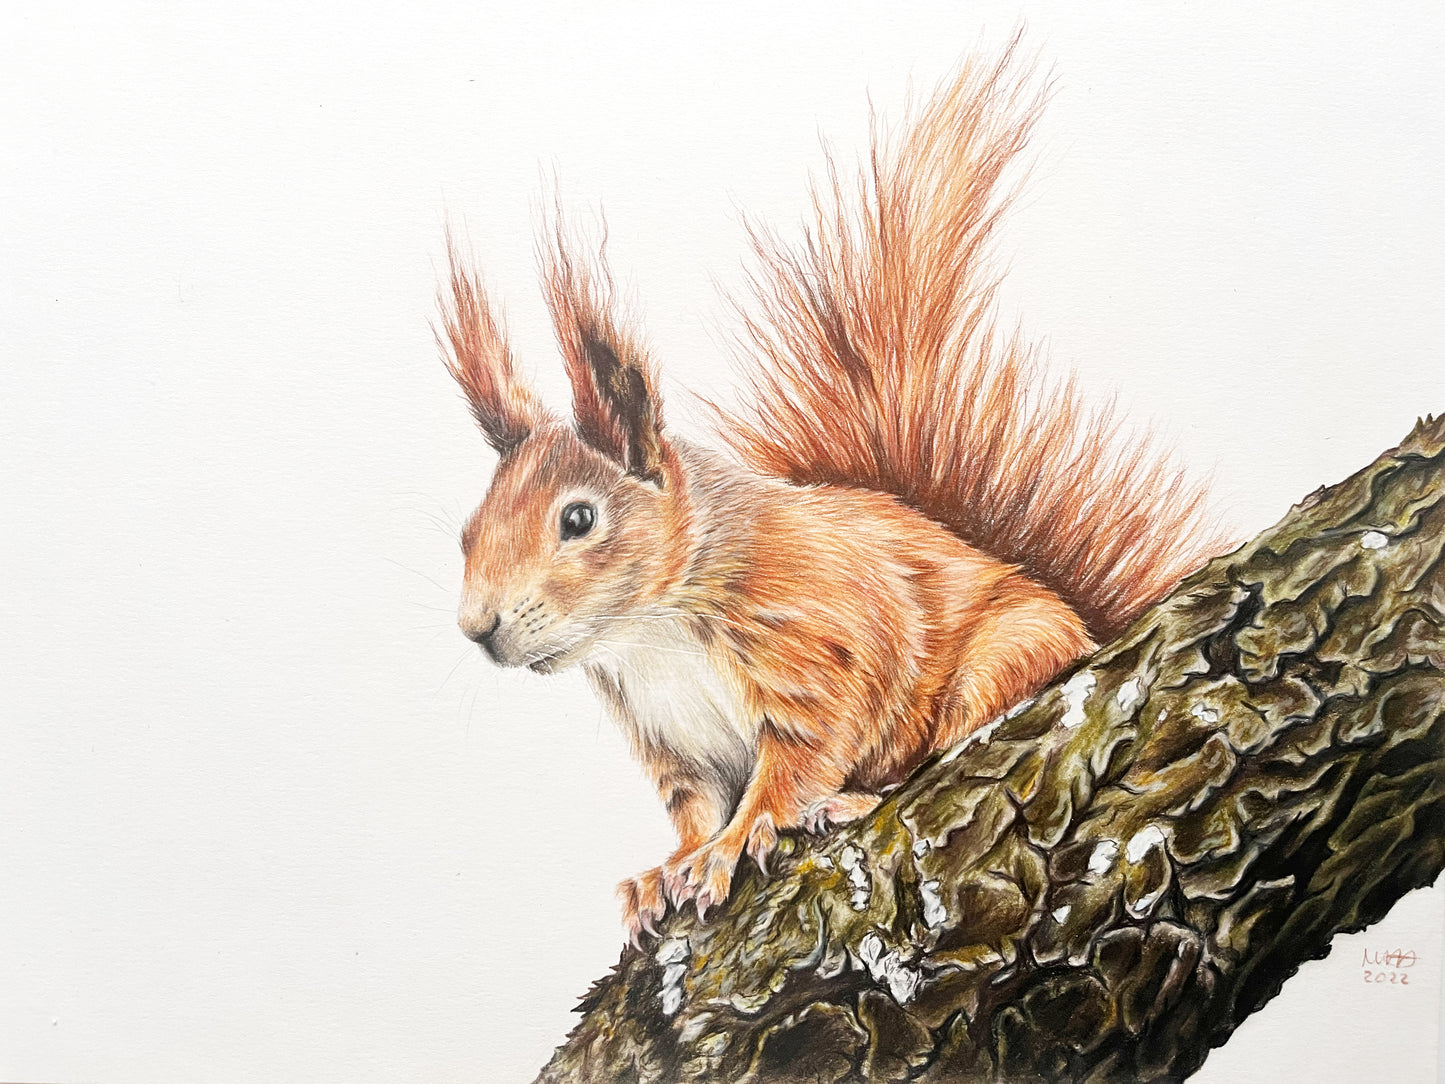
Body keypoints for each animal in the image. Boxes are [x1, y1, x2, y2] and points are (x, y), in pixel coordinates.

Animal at [437, 43, 1220, 943]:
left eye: (576, 519)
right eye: (465, 532)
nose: (477, 630)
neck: (649, 634)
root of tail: (1087, 623)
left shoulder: (814, 645)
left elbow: (793, 764)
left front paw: (734, 845)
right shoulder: (675, 742)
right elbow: (694, 806)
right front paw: (668, 869)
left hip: (1010, 653)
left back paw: (850, 802)